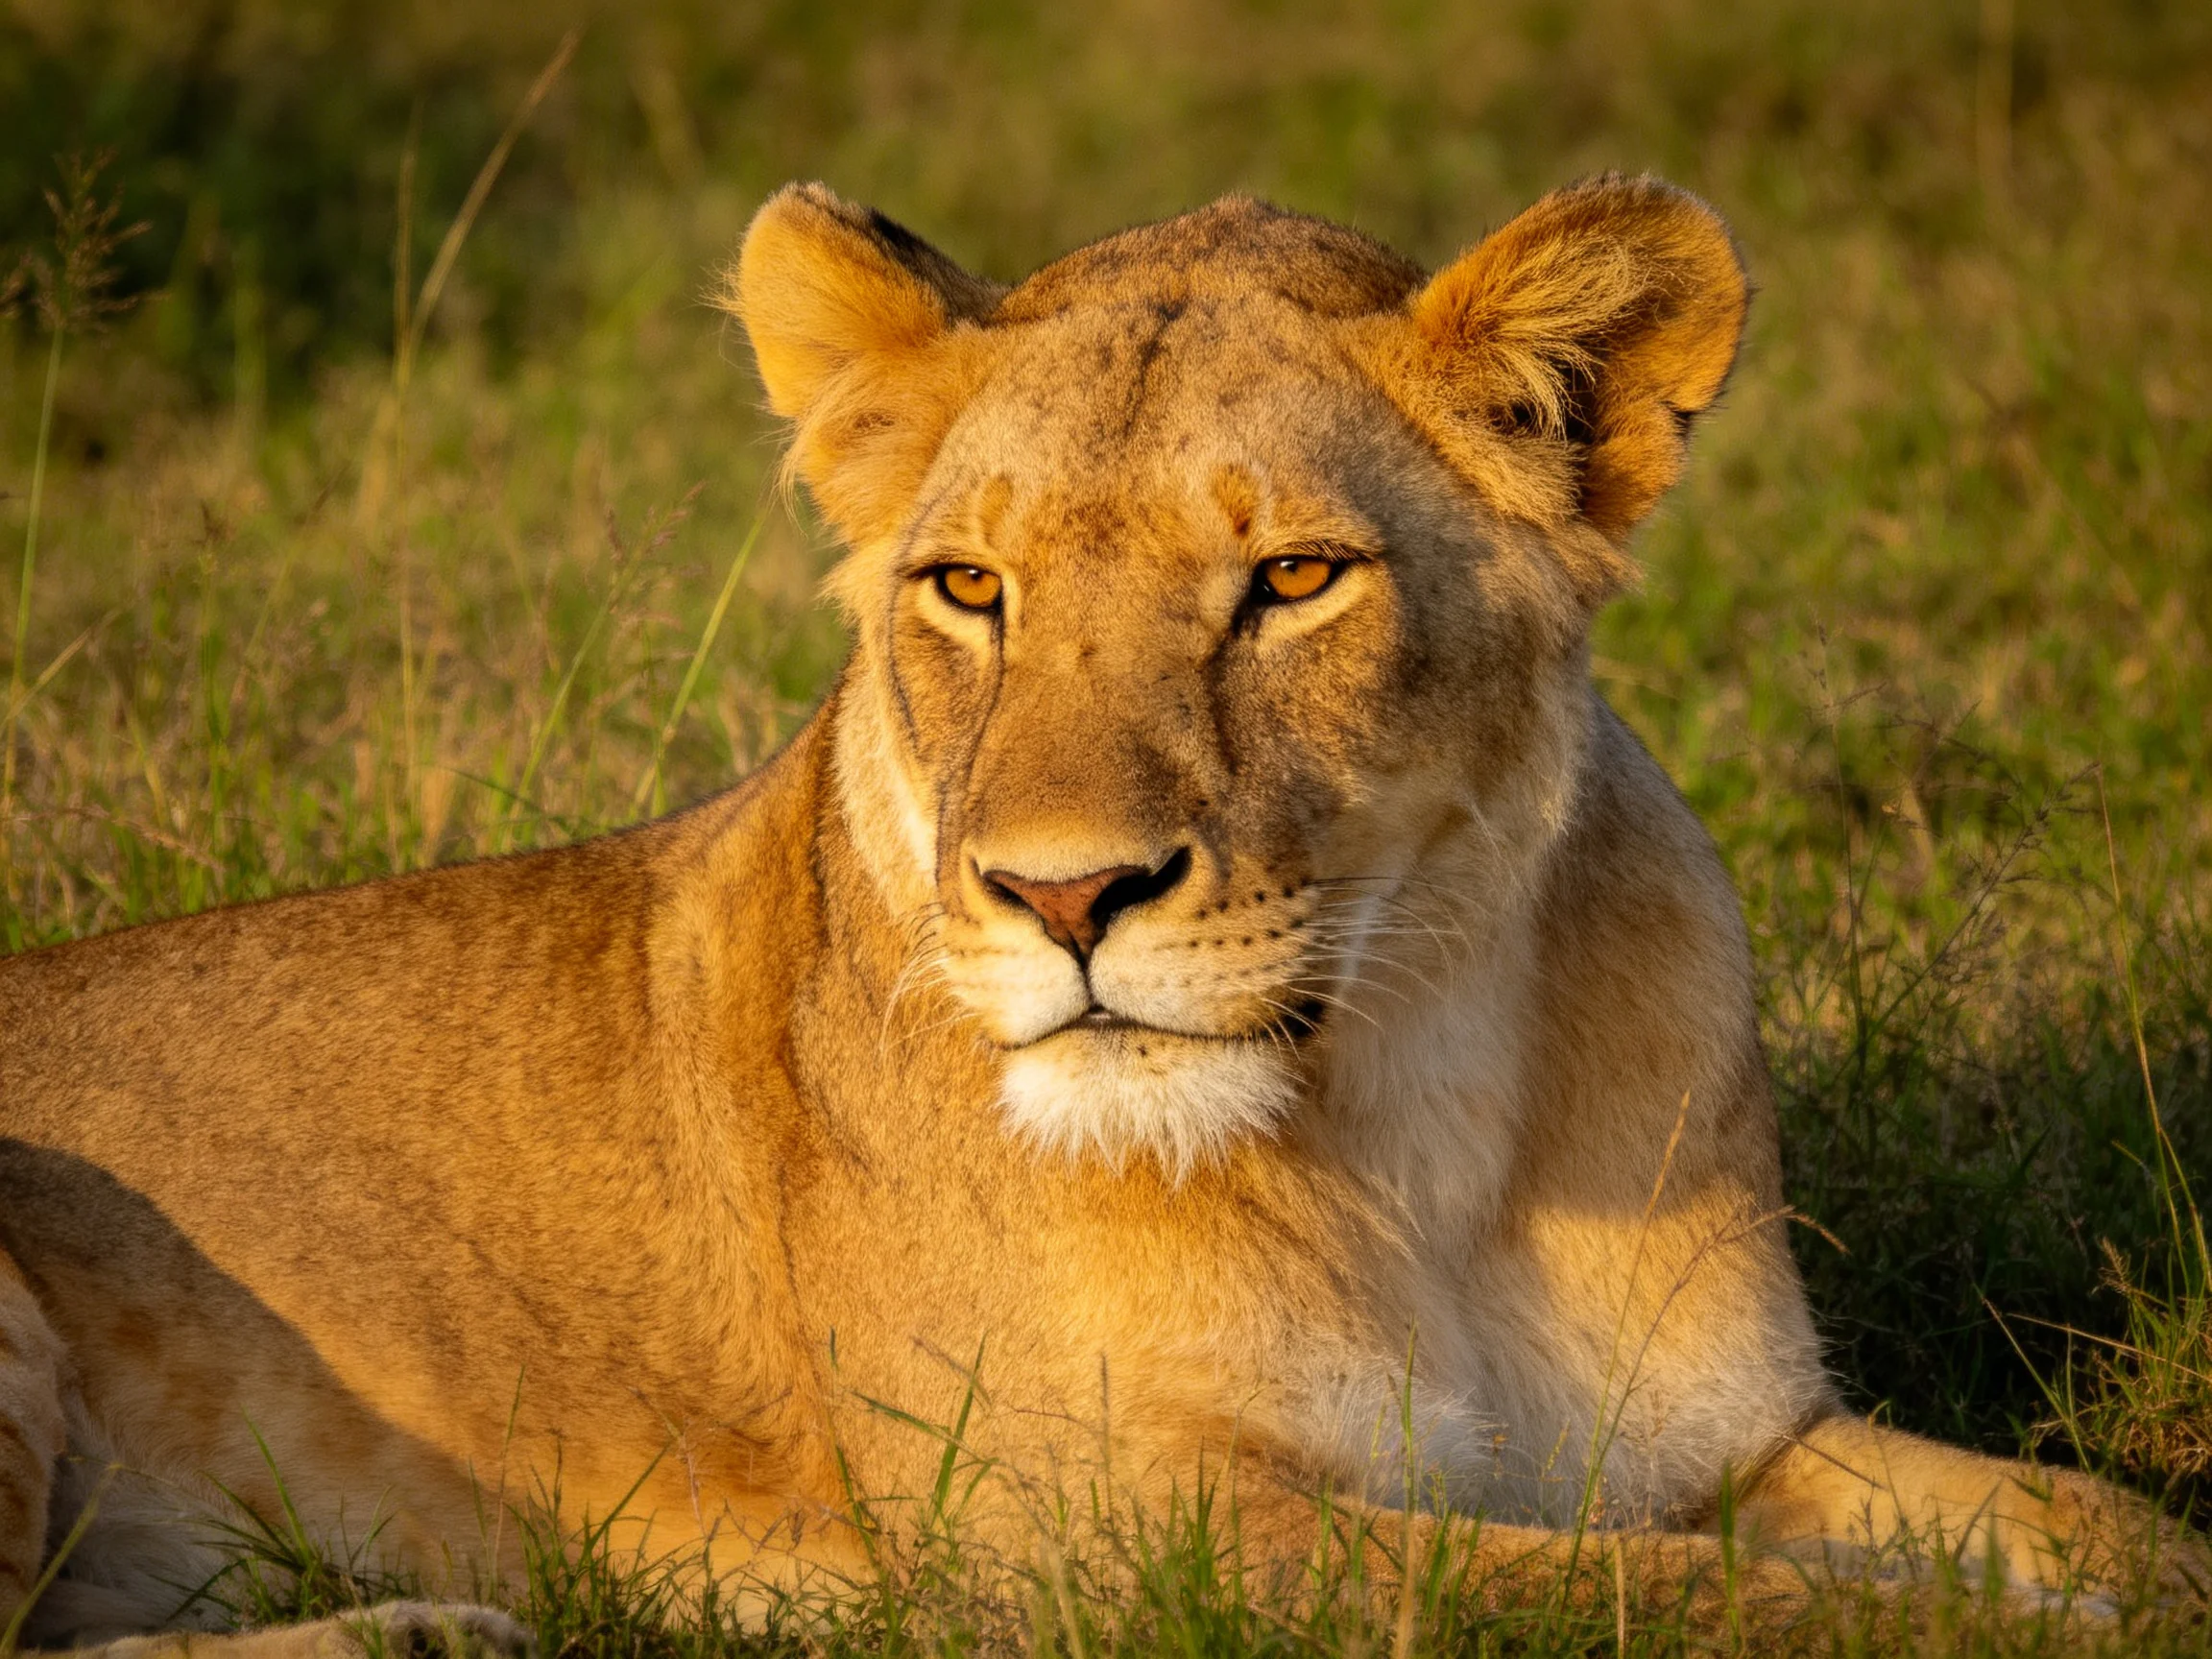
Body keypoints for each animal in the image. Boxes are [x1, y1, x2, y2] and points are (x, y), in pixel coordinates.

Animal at [0, 175, 2198, 1655]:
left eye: (1295, 579)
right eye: (969, 588)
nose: (1064, 894)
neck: (1415, 1119)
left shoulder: (1733, 1439)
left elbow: (2112, 1530)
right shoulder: (1126, 1539)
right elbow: (1691, 1609)